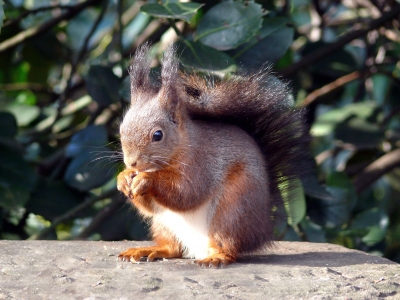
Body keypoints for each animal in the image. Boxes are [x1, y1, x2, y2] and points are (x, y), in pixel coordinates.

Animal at [115, 42, 310, 268]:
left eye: (157, 135)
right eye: (121, 129)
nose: (132, 162)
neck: (182, 145)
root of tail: (262, 230)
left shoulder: (202, 163)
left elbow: (187, 193)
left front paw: (146, 179)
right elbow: (150, 207)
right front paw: (123, 178)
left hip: (233, 209)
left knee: (228, 245)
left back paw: (217, 256)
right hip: (164, 224)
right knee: (173, 248)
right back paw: (147, 250)